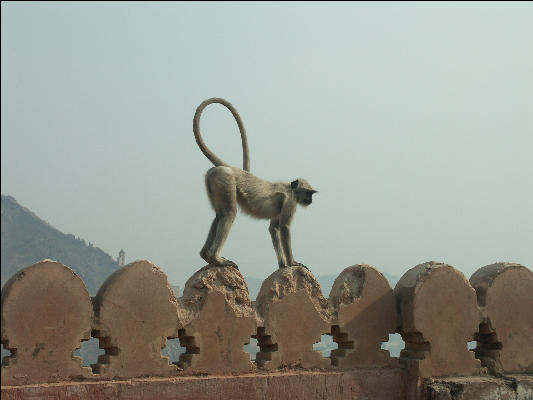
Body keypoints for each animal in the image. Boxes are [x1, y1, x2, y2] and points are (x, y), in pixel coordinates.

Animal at [193, 98, 316, 270]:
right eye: (309, 193)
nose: (310, 200)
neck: (289, 187)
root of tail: (231, 168)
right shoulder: (290, 201)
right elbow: (284, 228)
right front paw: (292, 263)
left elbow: (273, 228)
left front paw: (283, 264)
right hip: (225, 179)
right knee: (229, 213)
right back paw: (215, 258)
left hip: (214, 181)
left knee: (219, 215)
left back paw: (206, 256)